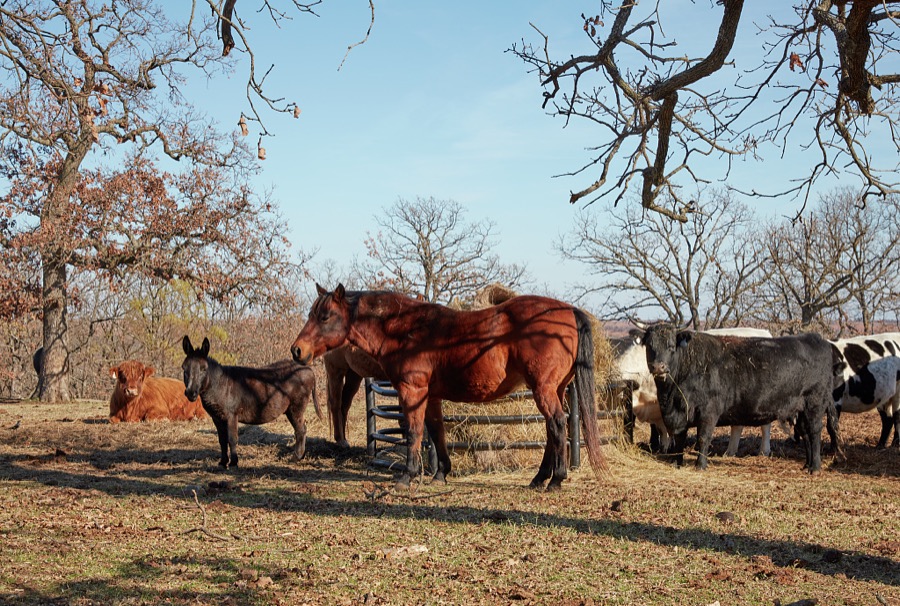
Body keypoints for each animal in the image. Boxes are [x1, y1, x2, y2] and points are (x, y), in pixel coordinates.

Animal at [181, 336, 321, 469]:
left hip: (296, 408)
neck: (218, 385)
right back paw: (300, 457)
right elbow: (222, 440)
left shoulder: (231, 415)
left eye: (203, 369)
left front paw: (234, 463)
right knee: (301, 429)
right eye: (184, 368)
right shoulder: (217, 418)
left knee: (301, 430)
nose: (190, 393)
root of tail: (308, 369)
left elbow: (232, 439)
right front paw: (222, 462)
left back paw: (296, 458)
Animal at [291, 284, 606, 490]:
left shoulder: (412, 392)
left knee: (557, 424)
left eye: (325, 316)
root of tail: (568, 310)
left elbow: (414, 432)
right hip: (556, 389)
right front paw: (440, 473)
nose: (297, 350)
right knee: (552, 430)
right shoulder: (431, 397)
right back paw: (539, 478)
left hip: (544, 389)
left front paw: (408, 476)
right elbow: (436, 431)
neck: (406, 329)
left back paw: (555, 480)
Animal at [612, 326, 774, 456]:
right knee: (738, 426)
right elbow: (659, 429)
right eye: (650, 346)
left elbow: (665, 429)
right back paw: (730, 452)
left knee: (765, 426)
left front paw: (667, 448)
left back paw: (763, 451)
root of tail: (764, 332)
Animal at [641, 323, 836, 472]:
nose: (658, 367)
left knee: (814, 432)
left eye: (671, 347)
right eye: (650, 346)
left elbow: (703, 438)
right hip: (800, 410)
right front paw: (677, 462)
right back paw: (807, 465)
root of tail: (816, 339)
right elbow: (679, 437)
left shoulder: (708, 411)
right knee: (805, 434)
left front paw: (700, 466)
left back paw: (815, 467)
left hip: (814, 404)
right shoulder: (680, 411)